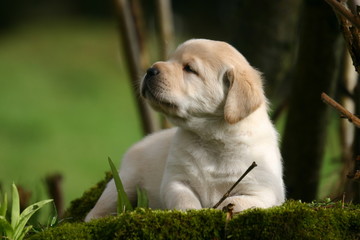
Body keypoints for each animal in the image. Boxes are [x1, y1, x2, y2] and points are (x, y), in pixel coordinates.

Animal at [84, 39, 284, 221]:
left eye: (189, 68)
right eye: (170, 59)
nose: (150, 70)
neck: (211, 138)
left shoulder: (263, 191)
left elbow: (235, 201)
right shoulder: (175, 180)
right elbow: (184, 199)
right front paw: (192, 212)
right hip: (124, 182)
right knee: (97, 210)